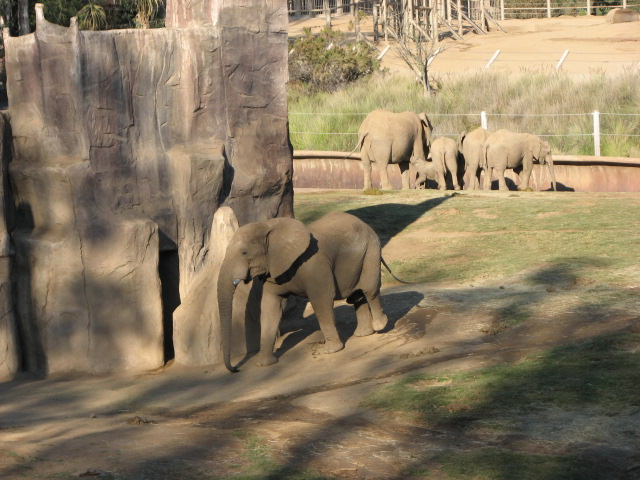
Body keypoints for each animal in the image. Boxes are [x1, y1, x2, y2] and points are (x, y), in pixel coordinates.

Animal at [217, 211, 389, 372]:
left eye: (244, 253)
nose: (236, 369)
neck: (267, 226)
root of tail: (365, 224)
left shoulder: (313, 266)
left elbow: (322, 299)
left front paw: (332, 351)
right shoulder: (274, 272)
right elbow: (271, 307)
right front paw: (264, 363)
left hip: (371, 250)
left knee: (369, 289)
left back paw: (380, 326)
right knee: (356, 295)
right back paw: (362, 334)